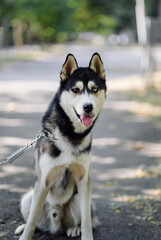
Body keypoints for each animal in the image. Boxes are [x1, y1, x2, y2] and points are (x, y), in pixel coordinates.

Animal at [16, 53, 107, 240]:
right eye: (76, 90)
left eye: (94, 89)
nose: (88, 107)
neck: (70, 134)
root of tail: (55, 225)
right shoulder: (42, 182)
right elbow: (31, 220)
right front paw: (25, 235)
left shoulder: (84, 180)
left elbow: (86, 221)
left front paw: (86, 235)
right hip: (28, 198)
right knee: (34, 220)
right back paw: (24, 227)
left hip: (77, 199)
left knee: (82, 219)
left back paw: (73, 228)